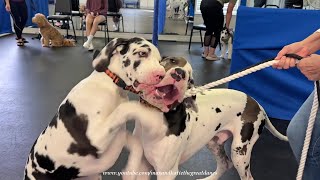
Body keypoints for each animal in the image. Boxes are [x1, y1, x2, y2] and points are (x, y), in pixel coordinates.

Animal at [23, 37, 166, 179]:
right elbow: (126, 107)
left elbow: (136, 144)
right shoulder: (96, 137)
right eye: (142, 53)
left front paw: (130, 170)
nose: (162, 75)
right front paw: (152, 118)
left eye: (159, 61)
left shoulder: (118, 135)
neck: (111, 86)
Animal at [102, 56, 288, 180]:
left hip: (240, 153)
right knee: (224, 164)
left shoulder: (166, 172)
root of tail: (258, 104)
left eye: (190, 76)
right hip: (214, 143)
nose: (180, 74)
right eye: (172, 61)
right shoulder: (142, 166)